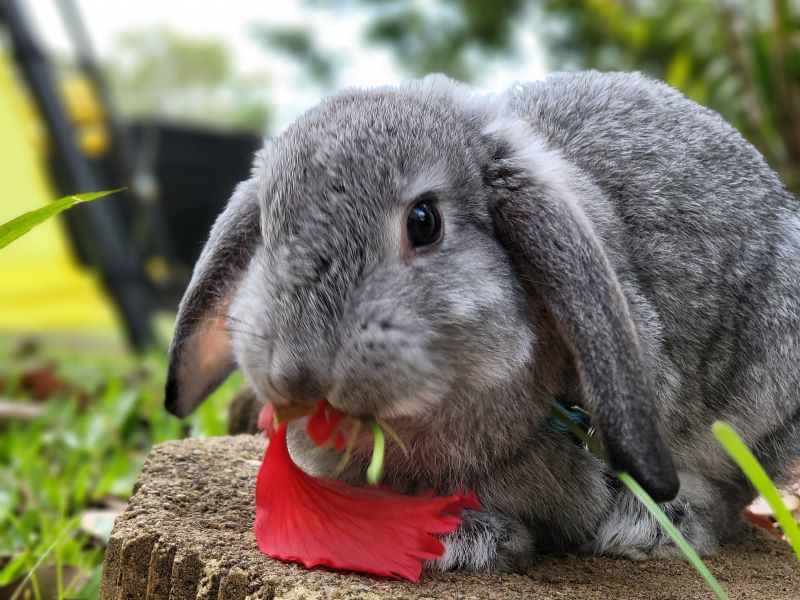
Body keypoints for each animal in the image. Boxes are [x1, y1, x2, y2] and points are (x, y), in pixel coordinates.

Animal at [162, 71, 800, 572]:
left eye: (424, 221)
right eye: (269, 233)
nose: (299, 373)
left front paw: (457, 541)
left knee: (731, 491)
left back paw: (655, 524)